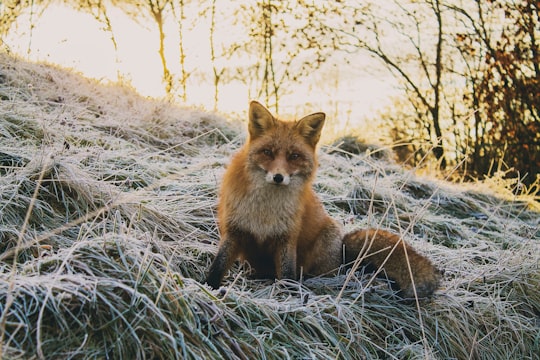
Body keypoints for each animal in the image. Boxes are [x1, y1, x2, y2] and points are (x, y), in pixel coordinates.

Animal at [205, 100, 440, 298]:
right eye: (268, 152)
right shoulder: (235, 230)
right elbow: (218, 264)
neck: (265, 209)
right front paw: (209, 288)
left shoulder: (287, 238)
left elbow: (288, 273)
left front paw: (290, 296)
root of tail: (342, 255)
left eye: (294, 156)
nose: (278, 177)